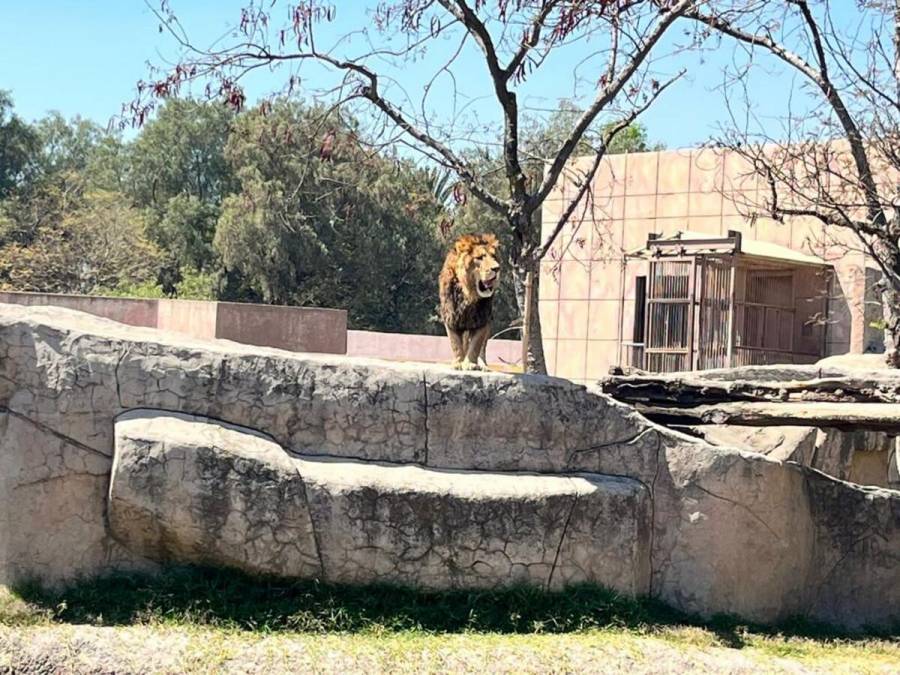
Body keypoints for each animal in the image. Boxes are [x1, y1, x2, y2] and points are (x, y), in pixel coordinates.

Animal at [438, 232, 500, 370]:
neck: (469, 295)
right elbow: (455, 344)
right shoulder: (451, 317)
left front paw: (471, 364)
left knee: (482, 348)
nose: (497, 268)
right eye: (480, 257)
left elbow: (476, 345)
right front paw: (458, 363)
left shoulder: (482, 319)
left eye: (494, 257)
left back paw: (483, 366)